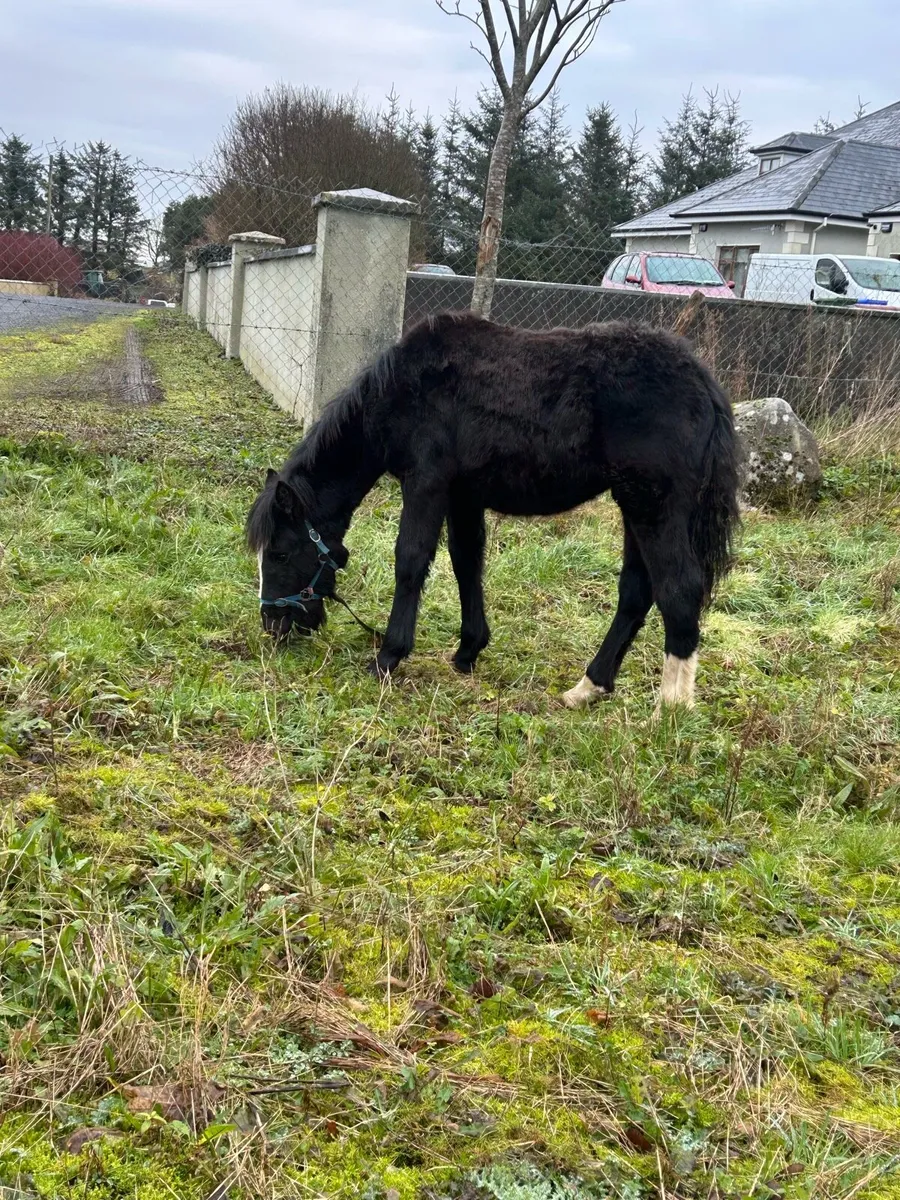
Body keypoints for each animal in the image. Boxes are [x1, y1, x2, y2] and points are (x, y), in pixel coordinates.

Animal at [246, 311, 740, 708]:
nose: (273, 625)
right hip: (634, 508)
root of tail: (703, 382)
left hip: (653, 508)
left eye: (281, 554)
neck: (406, 389)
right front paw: (468, 650)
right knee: (636, 594)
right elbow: (466, 563)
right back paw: (588, 688)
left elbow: (410, 561)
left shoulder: (426, 485)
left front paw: (388, 656)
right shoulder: (464, 496)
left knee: (679, 589)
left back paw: (670, 709)